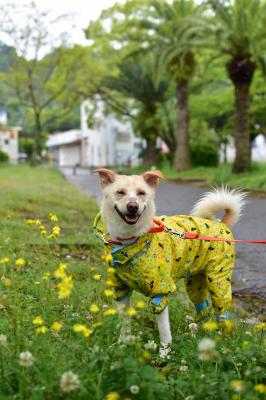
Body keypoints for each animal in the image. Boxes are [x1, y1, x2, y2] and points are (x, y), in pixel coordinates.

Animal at [93, 169, 245, 356]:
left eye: (141, 193)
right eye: (120, 192)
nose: (132, 206)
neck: (131, 240)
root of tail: (221, 225)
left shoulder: (159, 293)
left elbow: (164, 330)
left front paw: (164, 353)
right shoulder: (121, 291)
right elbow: (125, 323)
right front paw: (122, 344)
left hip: (218, 282)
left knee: (221, 312)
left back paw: (222, 339)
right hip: (195, 283)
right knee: (203, 308)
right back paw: (196, 332)